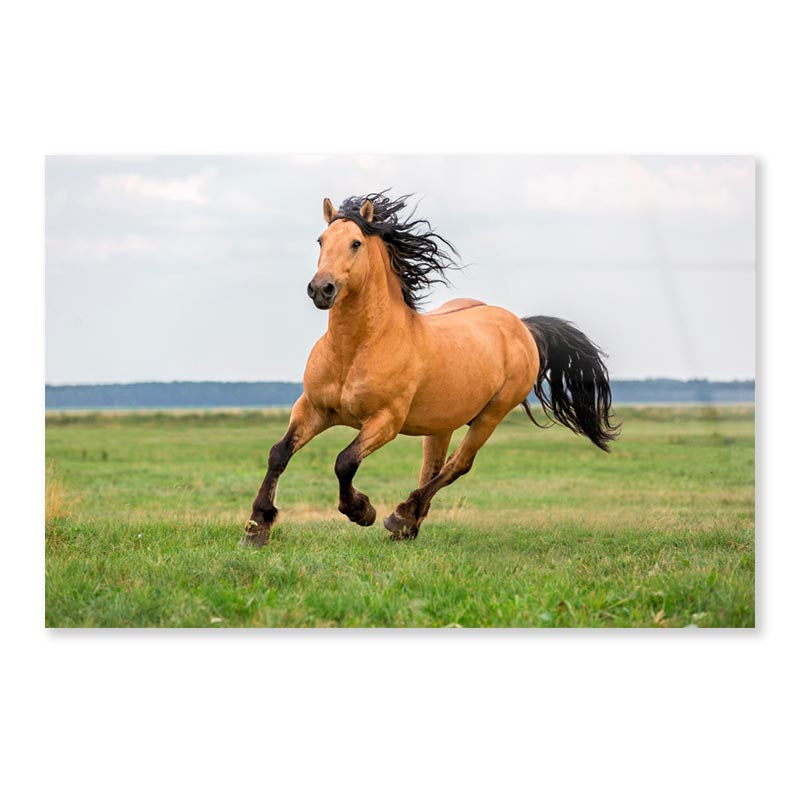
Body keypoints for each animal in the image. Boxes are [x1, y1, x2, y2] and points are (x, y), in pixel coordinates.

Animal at [242, 192, 619, 546]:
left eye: (355, 243)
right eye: (321, 240)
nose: (321, 289)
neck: (355, 349)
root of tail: (521, 326)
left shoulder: (385, 421)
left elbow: (344, 461)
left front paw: (362, 510)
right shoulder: (313, 409)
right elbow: (279, 453)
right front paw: (257, 527)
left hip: (491, 415)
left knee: (457, 466)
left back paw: (400, 516)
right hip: (442, 423)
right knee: (433, 467)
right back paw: (408, 526)